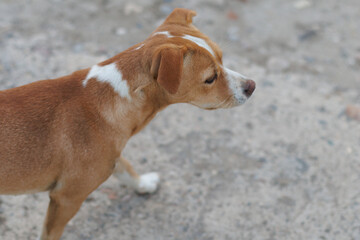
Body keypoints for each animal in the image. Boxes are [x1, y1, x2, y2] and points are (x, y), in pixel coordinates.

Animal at [0, 7, 255, 240]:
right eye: (210, 78)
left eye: (221, 57)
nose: (251, 86)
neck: (110, 97)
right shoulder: (66, 198)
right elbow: (50, 232)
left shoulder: (112, 156)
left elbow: (126, 167)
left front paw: (143, 184)